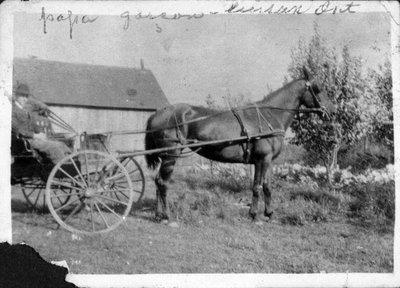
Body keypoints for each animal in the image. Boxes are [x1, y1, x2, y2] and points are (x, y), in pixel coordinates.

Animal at [145, 67, 336, 223]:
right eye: (318, 88)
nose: (332, 111)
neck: (270, 115)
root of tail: (158, 113)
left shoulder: (269, 161)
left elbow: (267, 186)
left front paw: (269, 213)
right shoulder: (261, 159)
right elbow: (257, 186)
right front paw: (254, 215)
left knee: (158, 181)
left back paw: (158, 214)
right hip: (170, 156)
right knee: (162, 182)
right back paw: (166, 216)